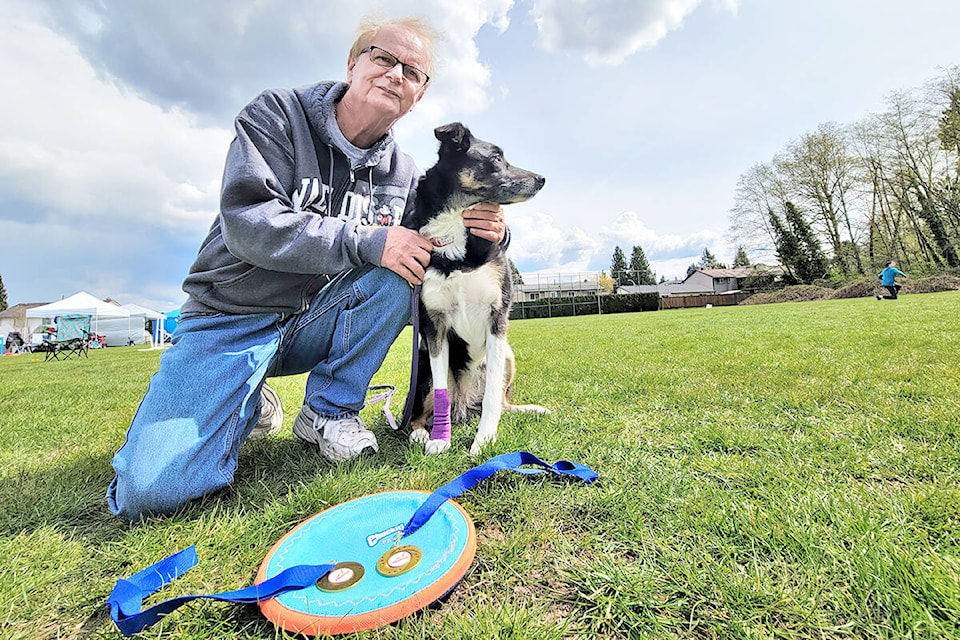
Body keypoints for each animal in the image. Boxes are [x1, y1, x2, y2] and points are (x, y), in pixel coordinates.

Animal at [400, 124, 548, 456]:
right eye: (496, 157)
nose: (542, 178)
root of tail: (464, 407)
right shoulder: (434, 326)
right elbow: (440, 391)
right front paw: (440, 440)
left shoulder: (497, 321)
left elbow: (493, 395)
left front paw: (485, 440)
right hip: (423, 369)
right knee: (420, 413)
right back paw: (420, 433)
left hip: (508, 355)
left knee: (503, 403)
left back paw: (530, 409)